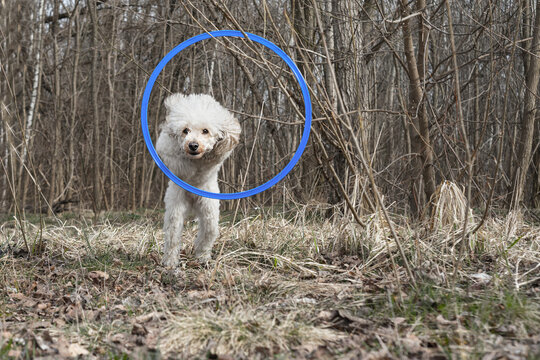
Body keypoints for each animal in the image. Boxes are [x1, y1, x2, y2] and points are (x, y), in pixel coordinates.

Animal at [156, 93, 240, 268]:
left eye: (205, 131)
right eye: (185, 130)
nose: (193, 145)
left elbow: (219, 149)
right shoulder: (167, 148)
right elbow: (176, 158)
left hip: (209, 208)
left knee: (208, 231)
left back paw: (202, 256)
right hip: (176, 208)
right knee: (173, 236)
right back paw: (170, 261)